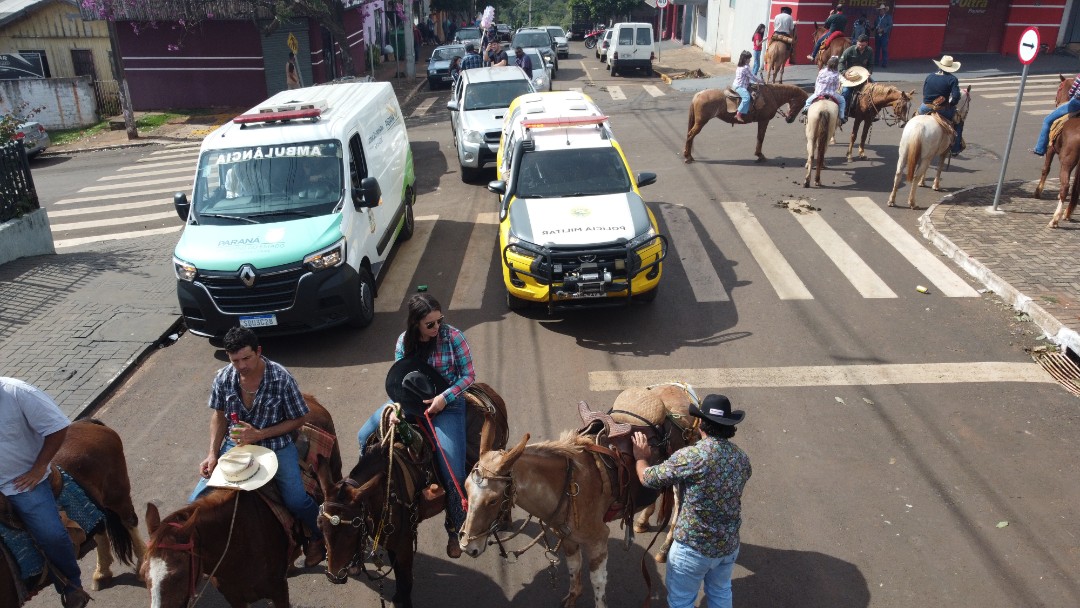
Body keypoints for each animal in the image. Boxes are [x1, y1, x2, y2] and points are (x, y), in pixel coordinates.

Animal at [319, 384, 508, 608]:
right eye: (321, 527)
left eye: (351, 532)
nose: (333, 576)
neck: (387, 487)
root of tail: (485, 391)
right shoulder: (390, 540)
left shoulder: (404, 545)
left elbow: (405, 580)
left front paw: (402, 599)